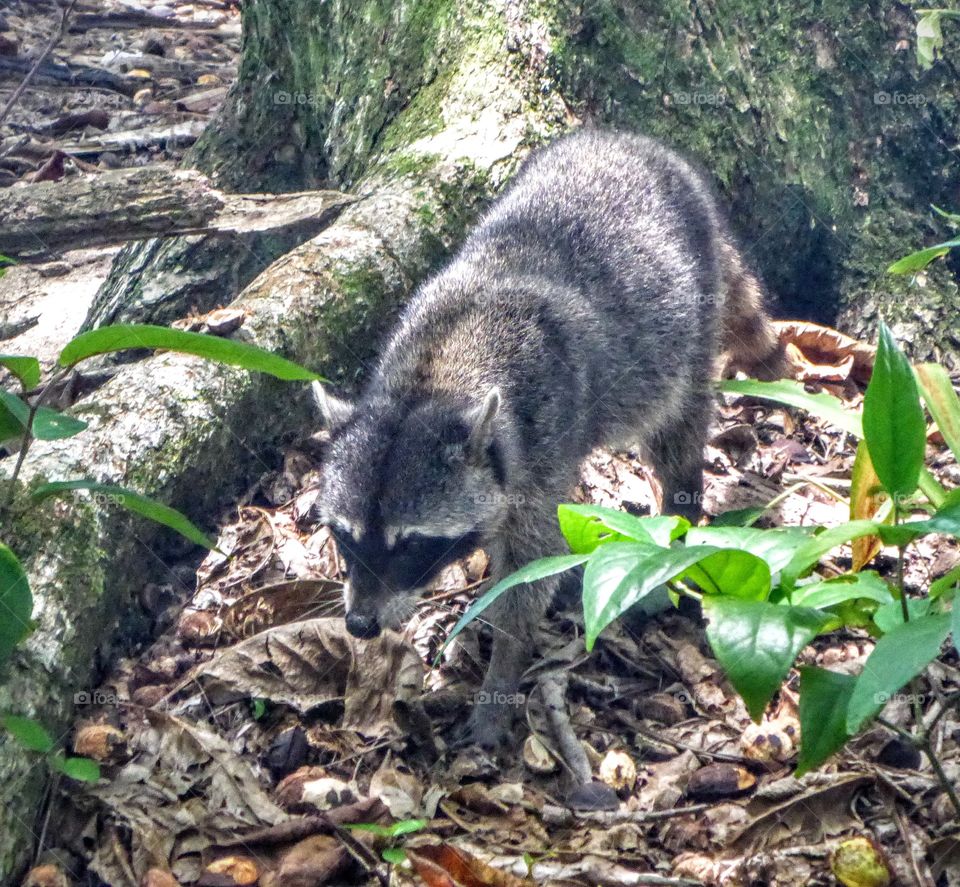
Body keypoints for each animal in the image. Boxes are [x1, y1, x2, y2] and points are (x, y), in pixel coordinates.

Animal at [312, 128, 784, 744]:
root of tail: (631, 141)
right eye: (344, 537)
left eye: (410, 545)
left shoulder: (540, 443)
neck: (432, 381)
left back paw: (680, 513)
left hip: (688, 323)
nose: (361, 624)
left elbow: (527, 571)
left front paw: (500, 677)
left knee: (675, 428)